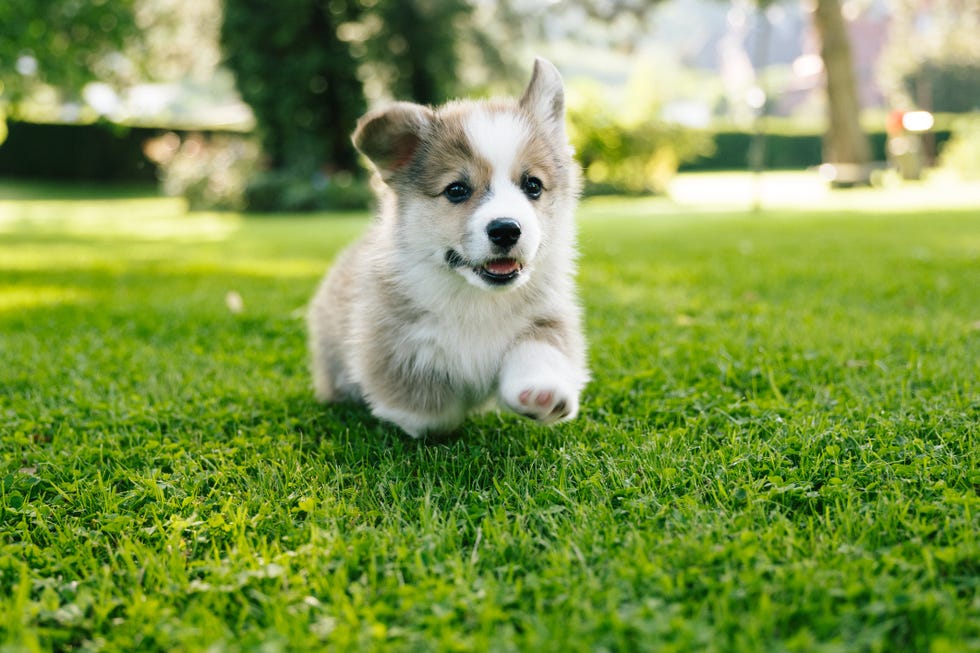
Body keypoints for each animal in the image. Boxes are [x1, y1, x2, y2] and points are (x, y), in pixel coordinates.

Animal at [306, 58, 588, 436]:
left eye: (533, 185)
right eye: (456, 190)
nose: (506, 230)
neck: (477, 299)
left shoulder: (547, 316)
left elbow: (539, 349)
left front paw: (542, 394)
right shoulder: (394, 344)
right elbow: (432, 414)